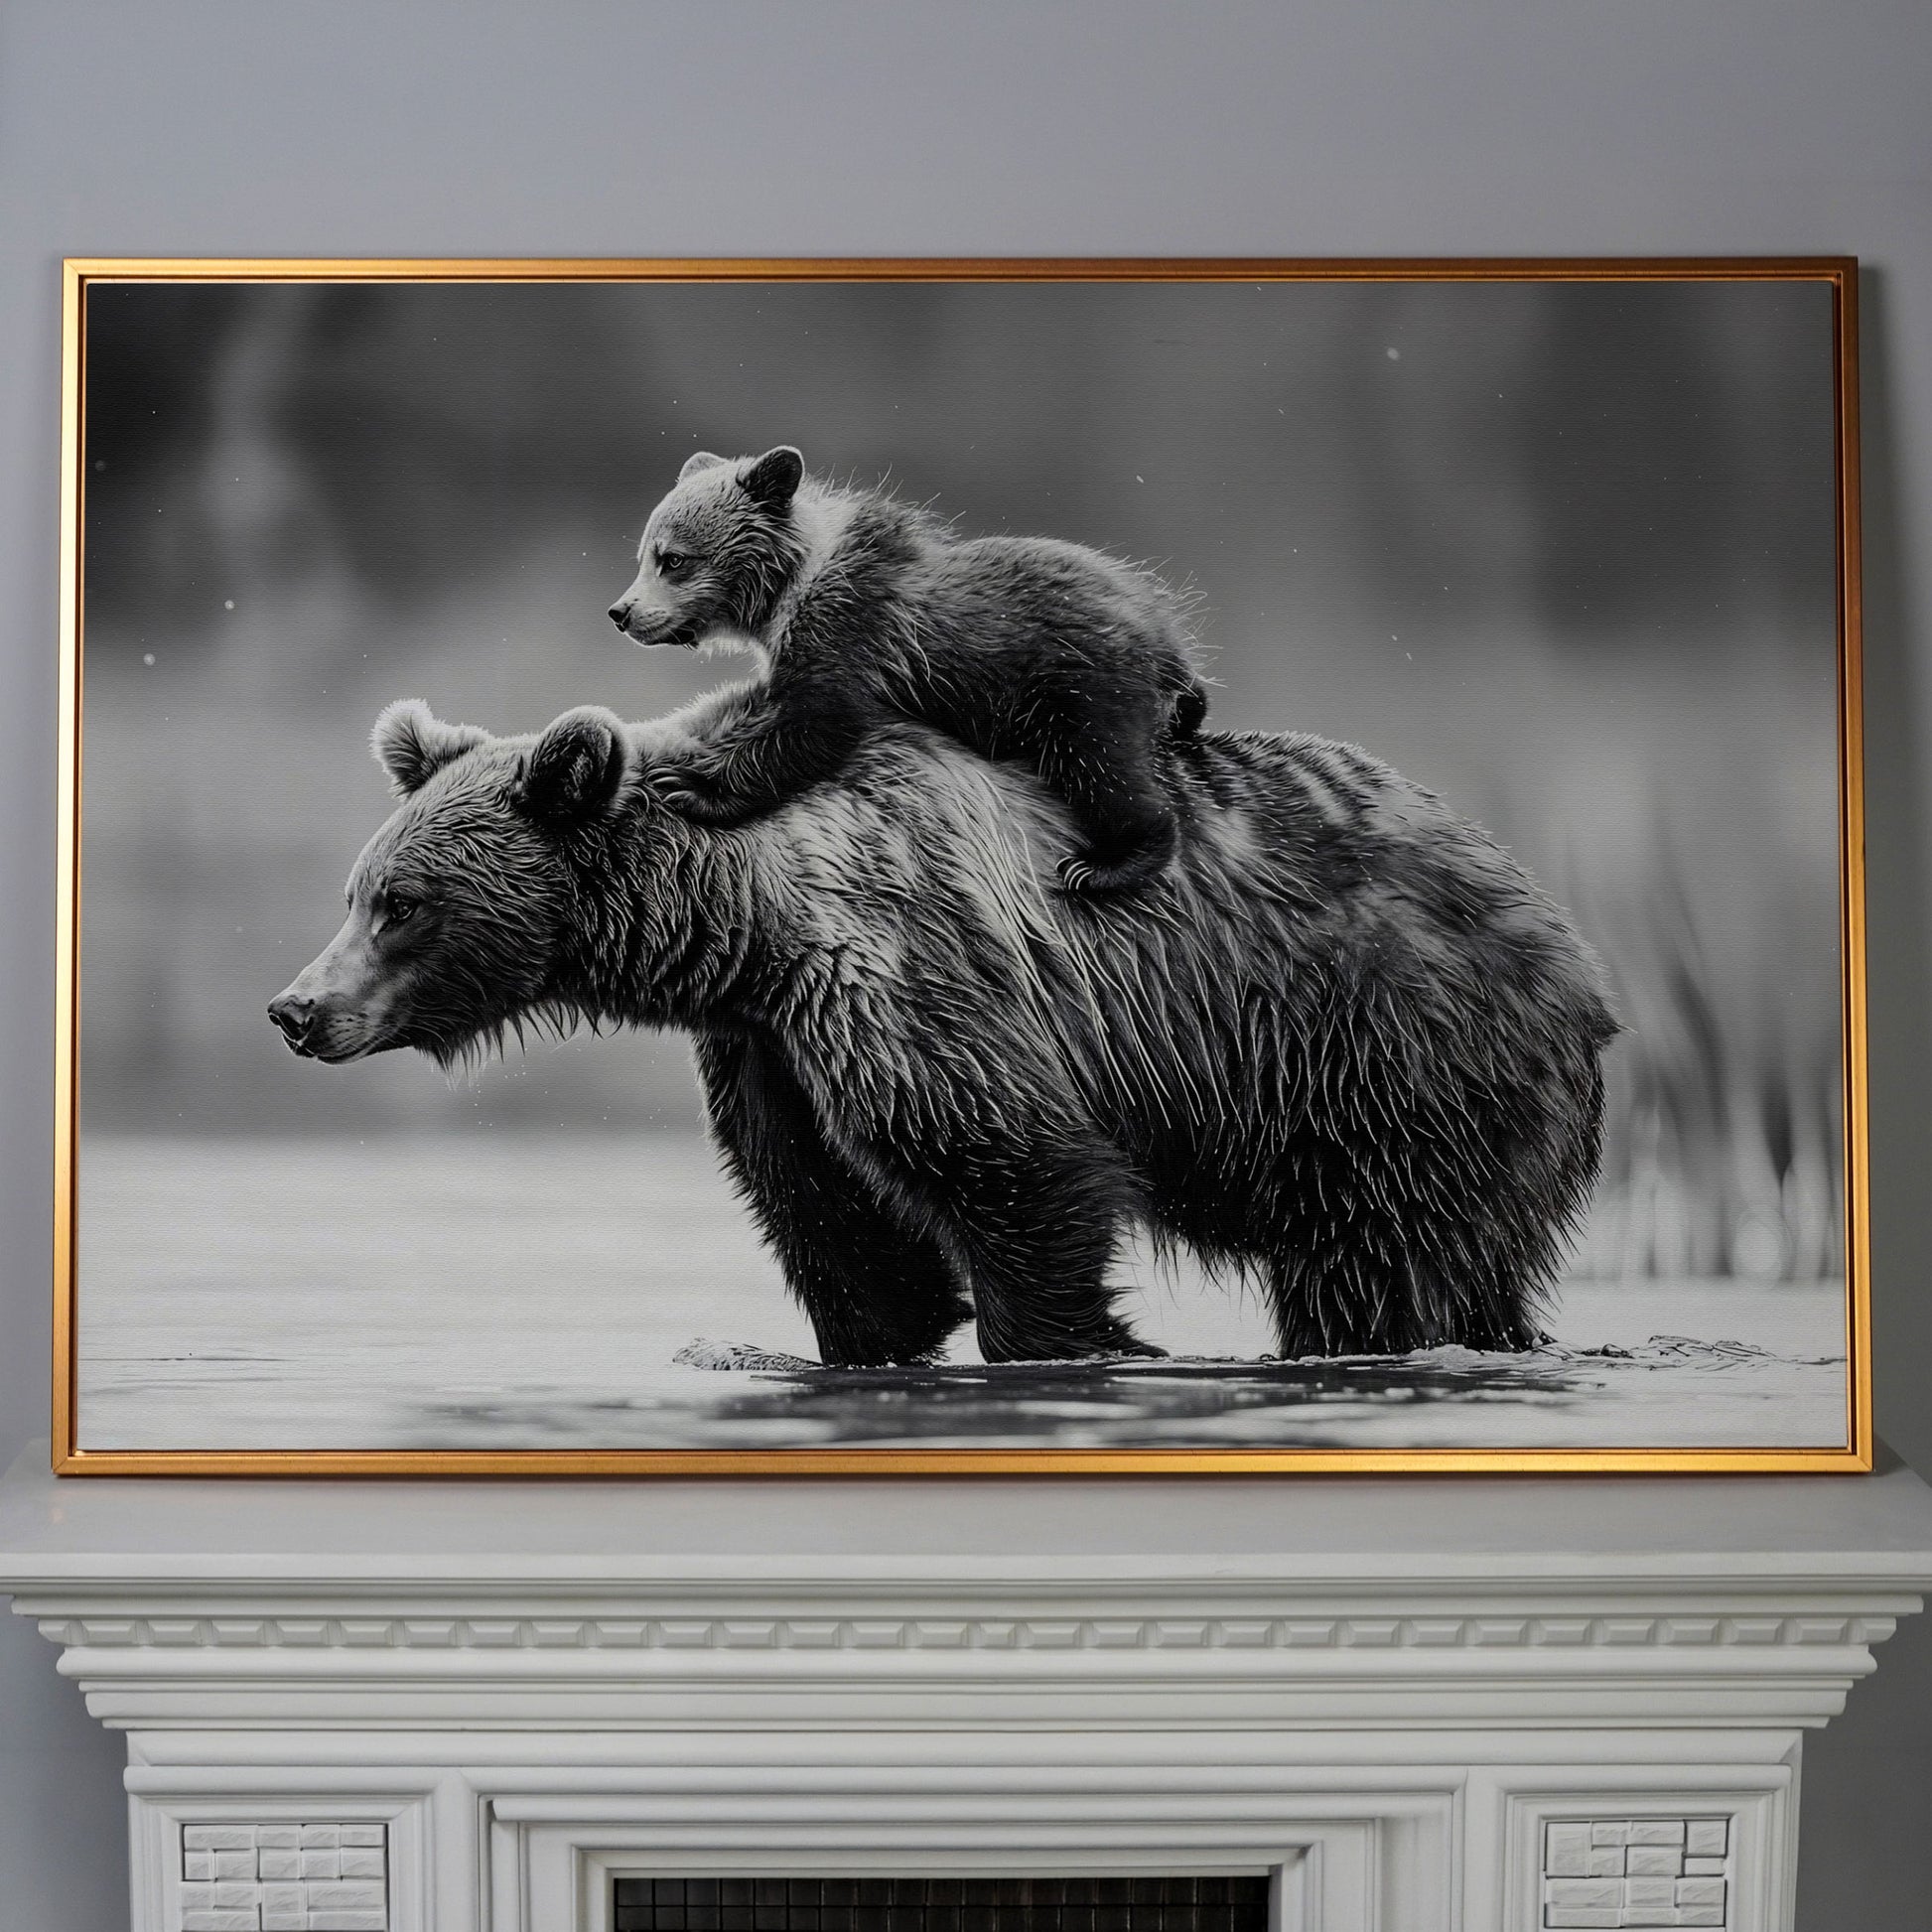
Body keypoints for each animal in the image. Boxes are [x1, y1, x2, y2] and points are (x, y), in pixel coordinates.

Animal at [267, 696, 1616, 1366]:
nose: (296, 1008)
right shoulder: (768, 1052)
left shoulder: (906, 972)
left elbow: (1015, 1170)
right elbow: (836, 1230)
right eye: (356, 888)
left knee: (1376, 1267)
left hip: (1383, 1062)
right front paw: (879, 1336)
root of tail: (1573, 949)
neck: (740, 923)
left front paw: (1086, 1342)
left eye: (401, 902)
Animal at [606, 447, 1211, 893]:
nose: (622, 613)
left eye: (673, 559)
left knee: (1103, 767)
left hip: (1078, 683)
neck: (788, 591)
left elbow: (816, 725)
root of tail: (1165, 637)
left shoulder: (850, 634)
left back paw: (1107, 862)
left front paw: (689, 785)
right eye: (643, 554)